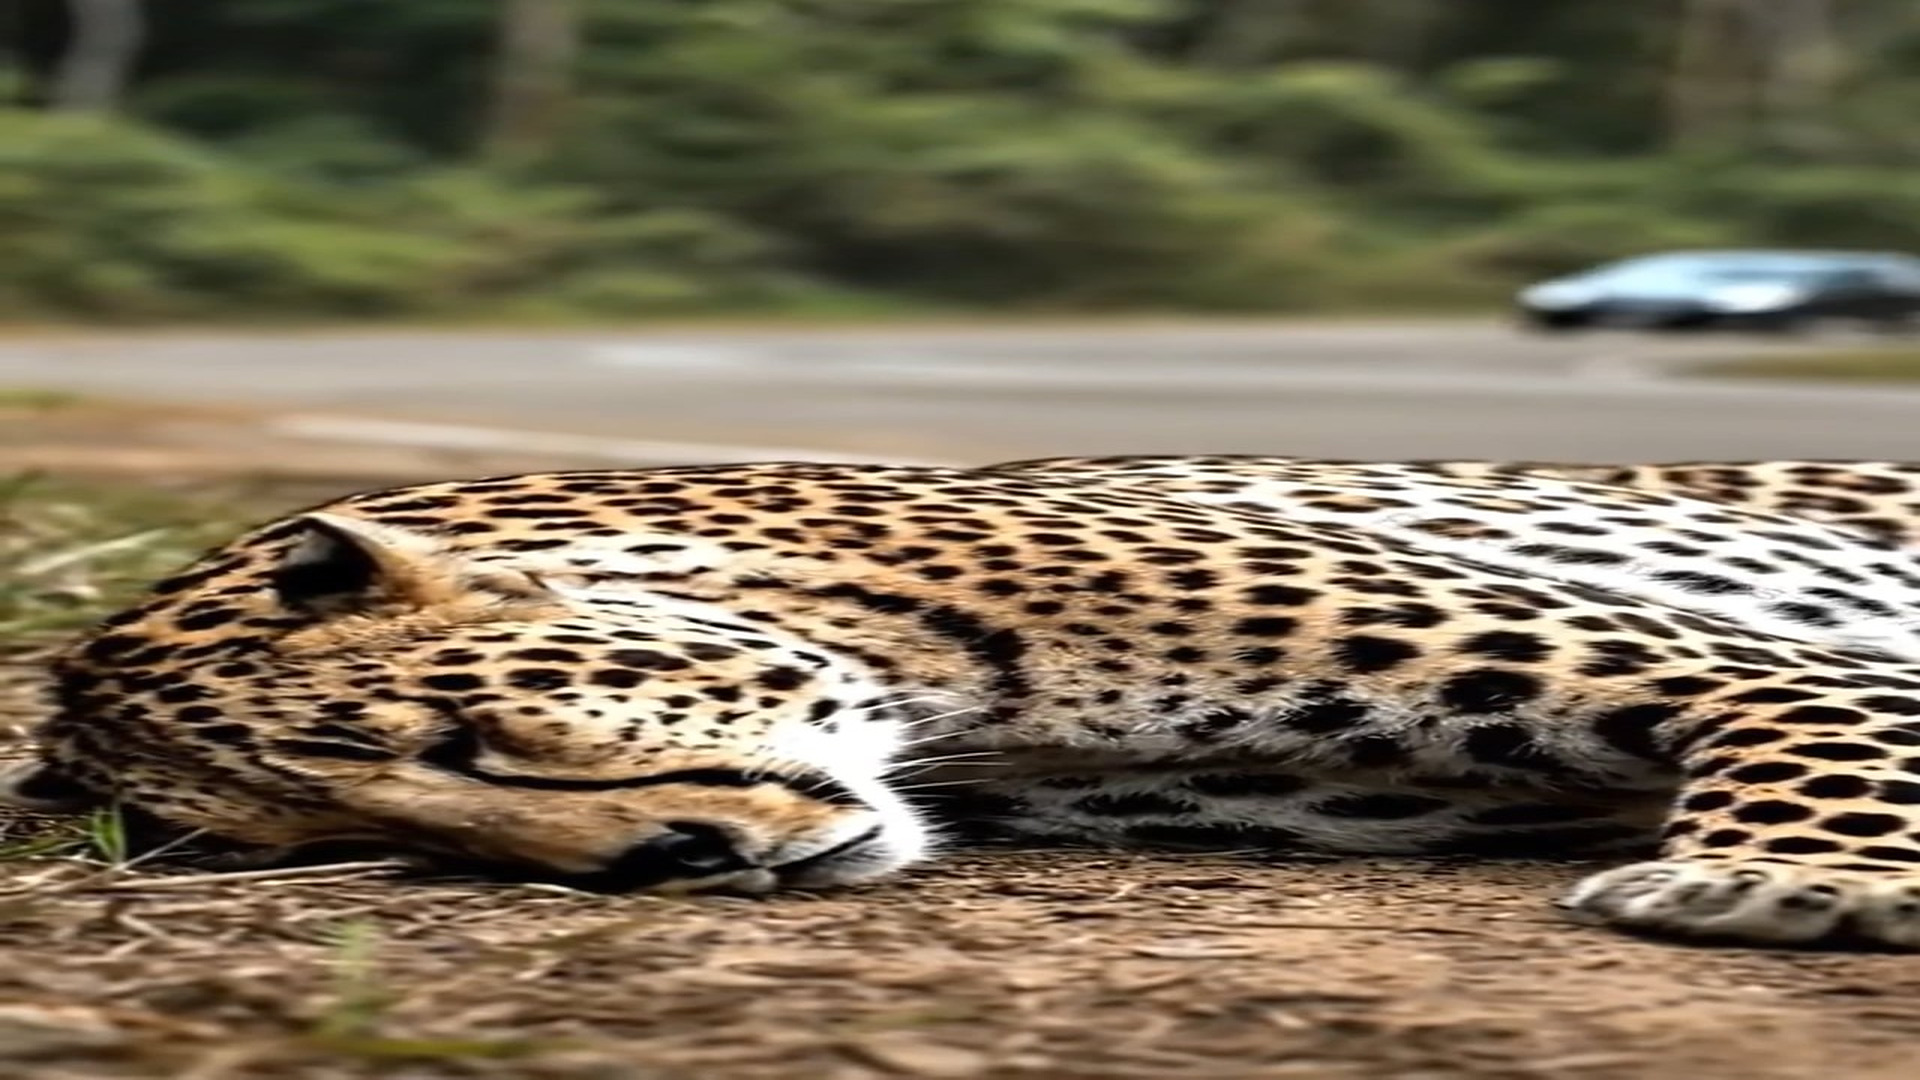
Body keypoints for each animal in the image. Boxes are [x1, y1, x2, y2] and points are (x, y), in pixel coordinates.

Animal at [9, 453, 1920, 950]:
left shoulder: (1769, 668)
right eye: (317, 843)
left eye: (460, 749)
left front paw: (1788, 883)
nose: (671, 866)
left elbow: (1811, 731)